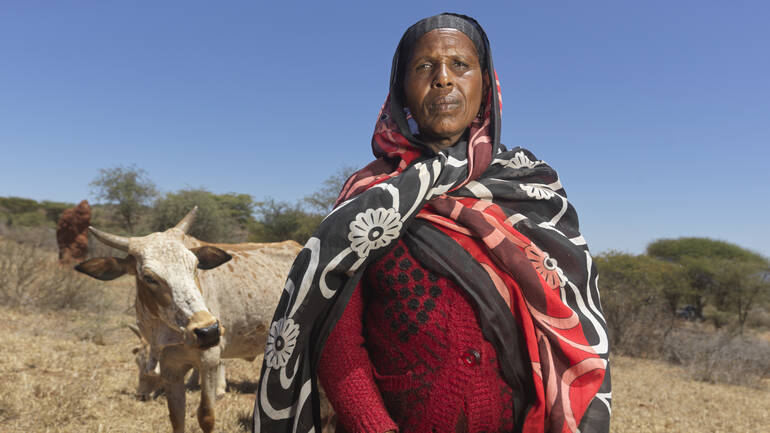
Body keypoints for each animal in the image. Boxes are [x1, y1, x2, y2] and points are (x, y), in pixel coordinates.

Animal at [73, 208, 312, 430]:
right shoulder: (170, 368)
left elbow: (206, 415)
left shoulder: (210, 360)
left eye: (196, 266)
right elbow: (177, 417)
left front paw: (219, 391)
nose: (208, 331)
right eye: (149, 277)